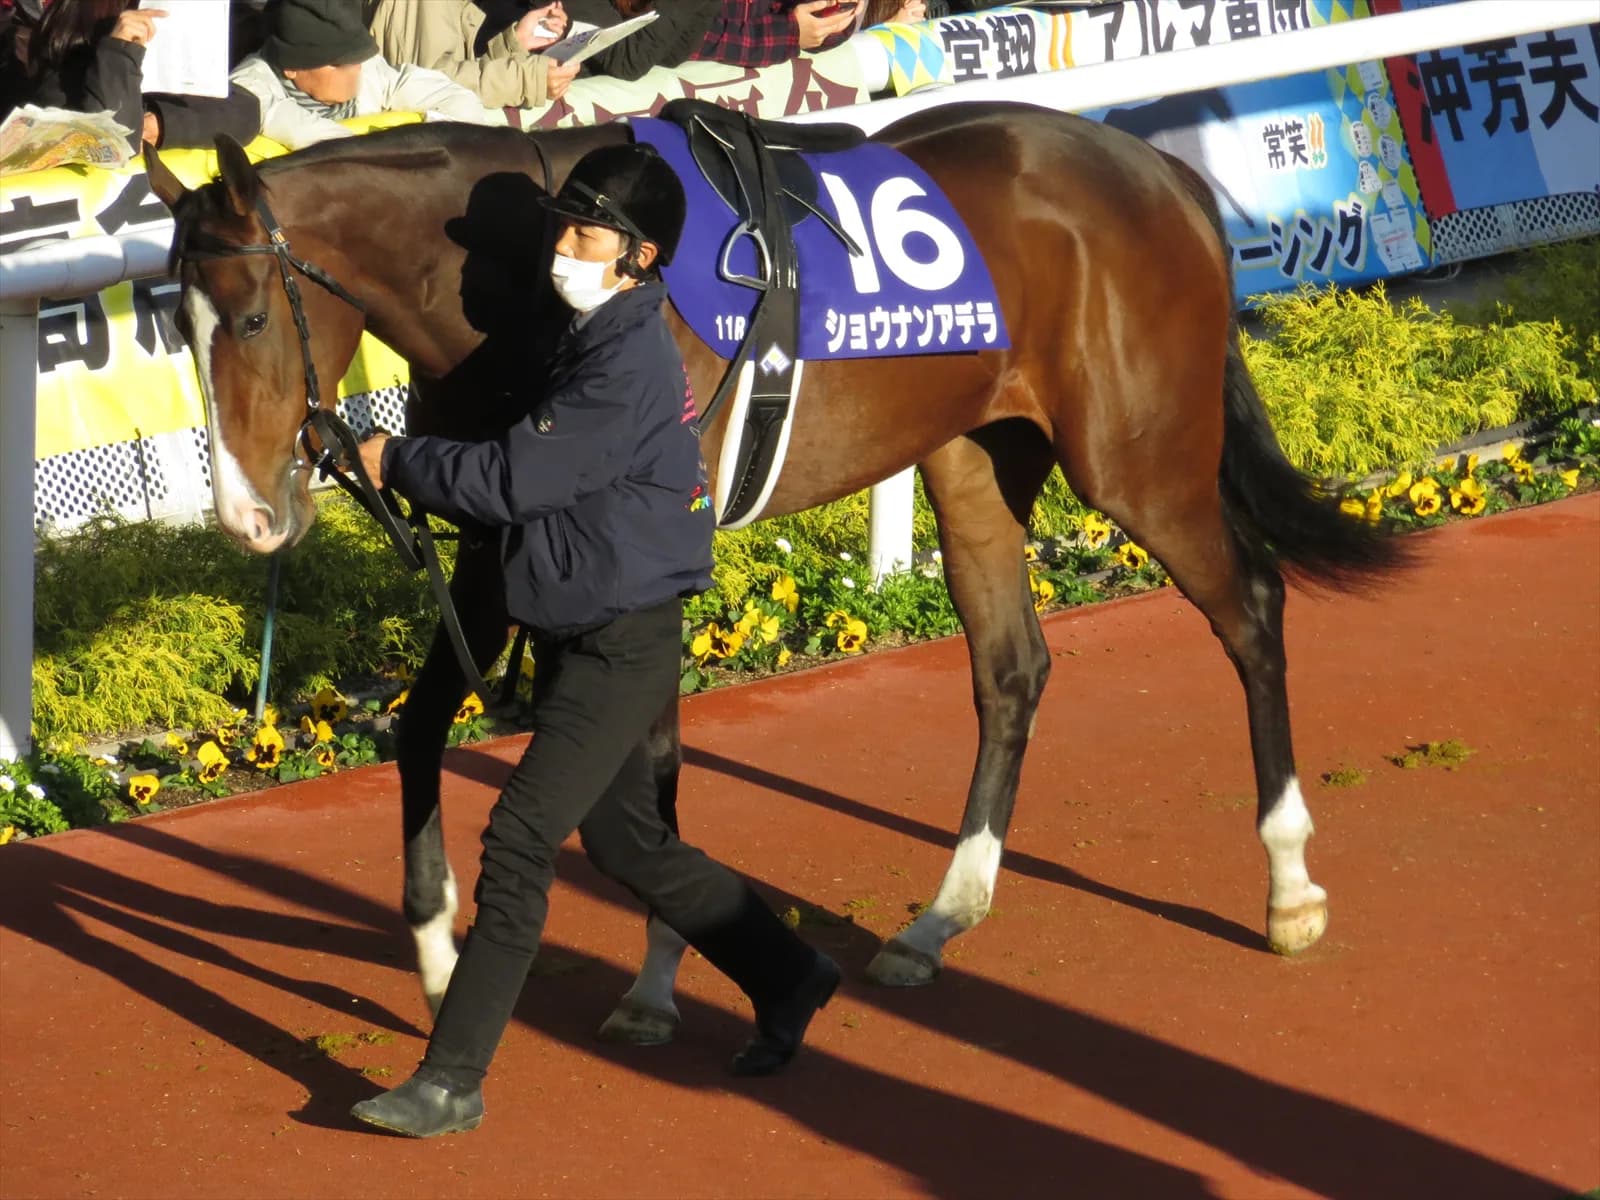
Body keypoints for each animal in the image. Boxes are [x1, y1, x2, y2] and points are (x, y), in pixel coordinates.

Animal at [143, 101, 1400, 1044]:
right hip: (973, 456)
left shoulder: (634, 550)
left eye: (247, 319)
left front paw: (655, 985)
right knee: (1011, 669)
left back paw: (1288, 887)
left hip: (1136, 458)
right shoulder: (501, 539)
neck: (527, 294)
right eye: (176, 328)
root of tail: (1158, 170)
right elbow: (419, 727)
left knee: (1250, 611)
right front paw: (438, 949)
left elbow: (648, 761)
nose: (247, 517)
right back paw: (941, 917)